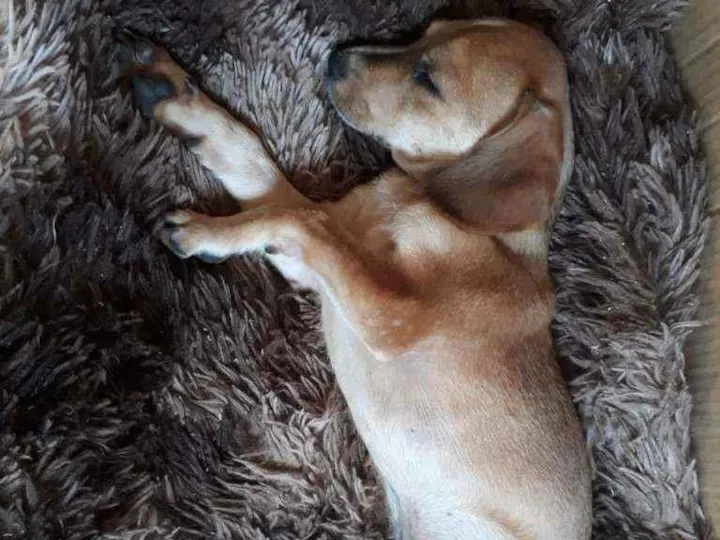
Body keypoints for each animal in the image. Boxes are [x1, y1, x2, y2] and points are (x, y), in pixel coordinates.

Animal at [118, 17, 592, 540]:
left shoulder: (391, 317)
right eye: (427, 29)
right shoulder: (315, 267)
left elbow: (296, 217)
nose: (335, 58)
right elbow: (255, 165)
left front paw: (203, 231)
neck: (420, 200)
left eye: (428, 80)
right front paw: (175, 96)